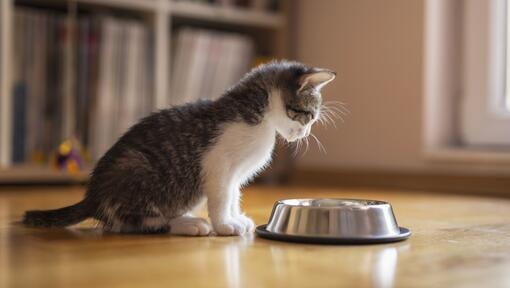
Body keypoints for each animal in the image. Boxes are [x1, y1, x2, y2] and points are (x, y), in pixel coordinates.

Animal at [21, 59, 336, 235]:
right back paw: (186, 225)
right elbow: (221, 196)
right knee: (130, 222)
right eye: (308, 115)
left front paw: (235, 217)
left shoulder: (235, 173)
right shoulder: (218, 163)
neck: (260, 115)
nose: (304, 133)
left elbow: (233, 194)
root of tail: (93, 196)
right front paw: (224, 225)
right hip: (137, 169)